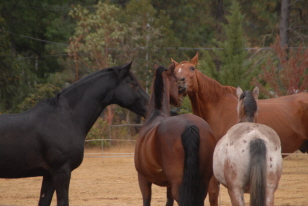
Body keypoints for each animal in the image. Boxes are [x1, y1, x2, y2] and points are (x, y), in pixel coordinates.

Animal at [135, 64, 217, 206]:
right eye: (176, 79)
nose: (181, 96)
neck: (155, 116)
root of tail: (190, 125)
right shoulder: (168, 185)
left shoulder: (143, 179)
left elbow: (147, 201)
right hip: (201, 184)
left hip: (179, 185)